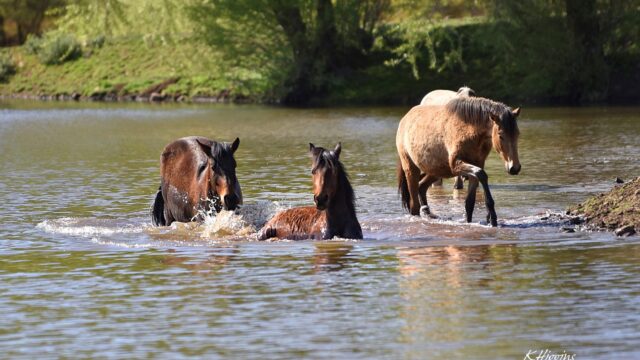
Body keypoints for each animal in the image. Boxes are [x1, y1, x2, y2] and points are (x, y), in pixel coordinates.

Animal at [398, 95, 524, 225]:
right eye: (500, 135)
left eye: (517, 134)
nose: (514, 167)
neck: (469, 129)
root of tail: (405, 119)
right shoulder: (456, 165)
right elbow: (482, 174)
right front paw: (492, 216)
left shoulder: (477, 164)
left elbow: (470, 203)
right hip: (411, 168)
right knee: (414, 205)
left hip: (437, 170)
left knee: (422, 187)